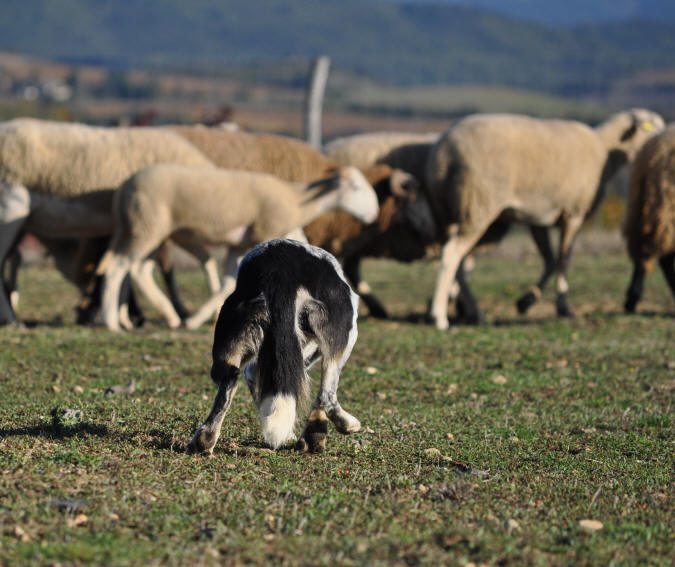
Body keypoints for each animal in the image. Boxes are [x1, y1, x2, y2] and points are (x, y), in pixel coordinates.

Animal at [99, 164, 380, 332]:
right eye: (356, 188)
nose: (375, 214)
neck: (298, 200)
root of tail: (123, 189)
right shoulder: (265, 231)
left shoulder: (238, 244)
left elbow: (227, 284)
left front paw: (201, 318)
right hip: (148, 226)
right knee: (119, 268)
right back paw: (113, 322)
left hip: (144, 229)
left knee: (136, 270)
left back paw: (152, 316)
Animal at [187, 237, 362, 454]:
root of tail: (279, 271)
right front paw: (313, 435)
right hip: (347, 332)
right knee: (327, 395)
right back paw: (343, 425)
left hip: (231, 341)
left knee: (232, 382)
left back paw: (205, 439)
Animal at [428, 108, 664, 330]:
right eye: (654, 127)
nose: (661, 143)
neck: (605, 148)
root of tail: (444, 152)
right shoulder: (573, 214)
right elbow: (563, 260)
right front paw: (564, 307)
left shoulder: (536, 217)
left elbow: (550, 260)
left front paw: (526, 301)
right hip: (478, 204)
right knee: (451, 254)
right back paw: (440, 316)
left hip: (451, 210)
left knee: (457, 260)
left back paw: (466, 310)